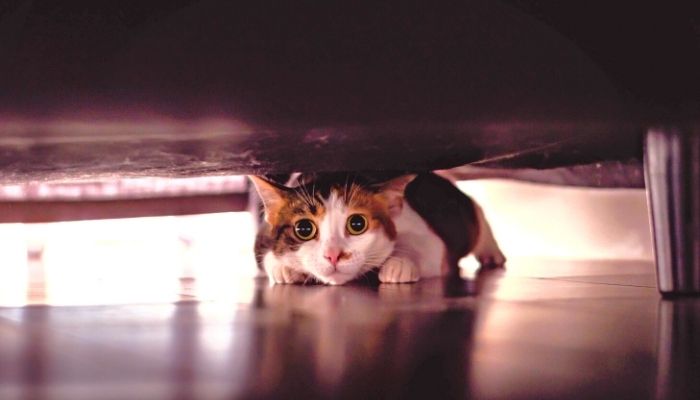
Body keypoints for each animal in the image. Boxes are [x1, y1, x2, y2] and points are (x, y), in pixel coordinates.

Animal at [252, 172, 504, 284]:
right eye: (304, 229)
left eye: (357, 224)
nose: (333, 255)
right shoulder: (262, 235)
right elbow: (266, 254)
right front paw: (283, 268)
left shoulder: (421, 230)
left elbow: (424, 245)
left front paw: (398, 264)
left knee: (477, 213)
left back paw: (492, 253)